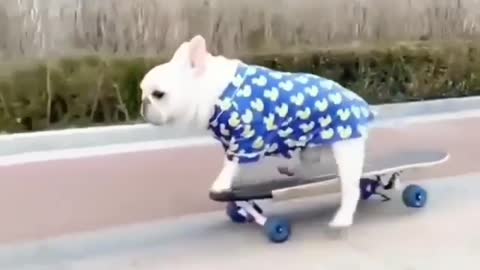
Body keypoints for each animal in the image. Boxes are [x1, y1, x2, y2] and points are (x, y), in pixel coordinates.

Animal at [139, 35, 376, 228]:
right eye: (142, 91)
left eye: (158, 94)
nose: (143, 103)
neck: (213, 91)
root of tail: (358, 101)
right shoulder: (231, 141)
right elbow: (231, 163)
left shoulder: (245, 138)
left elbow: (230, 165)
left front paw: (220, 185)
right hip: (315, 143)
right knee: (311, 161)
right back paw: (294, 170)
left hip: (345, 145)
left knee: (351, 187)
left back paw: (342, 220)